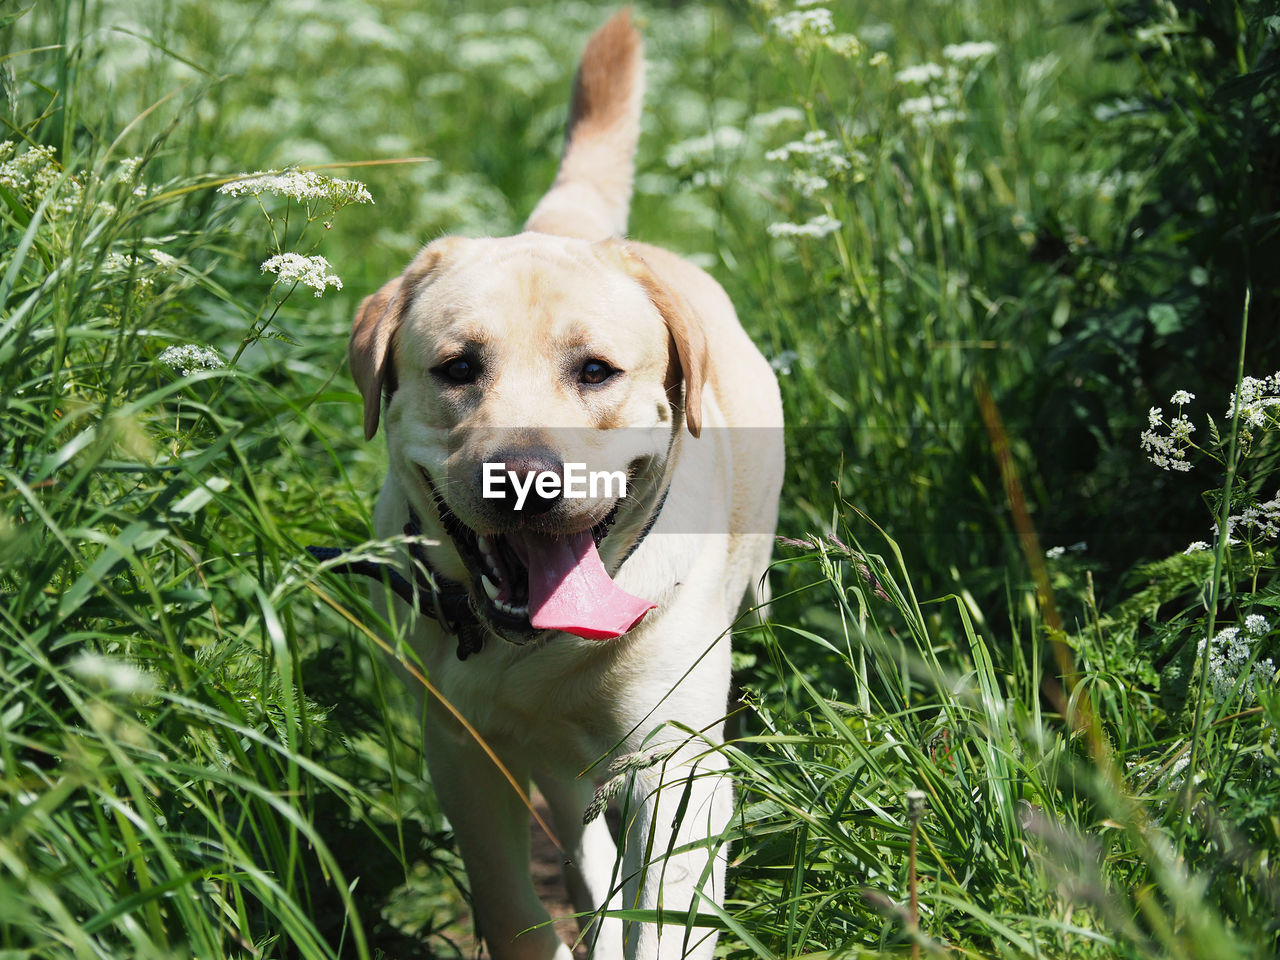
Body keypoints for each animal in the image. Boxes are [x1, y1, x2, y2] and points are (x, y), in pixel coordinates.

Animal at [350, 9, 783, 960]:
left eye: (595, 371)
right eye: (457, 367)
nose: (525, 479)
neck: (541, 650)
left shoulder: (679, 770)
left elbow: (667, 922)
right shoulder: (465, 756)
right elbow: (513, 905)